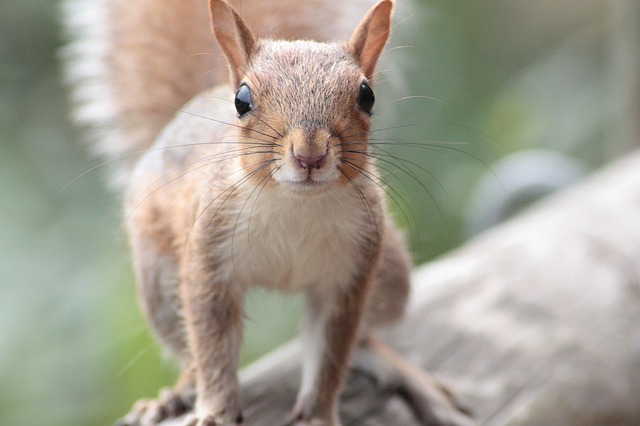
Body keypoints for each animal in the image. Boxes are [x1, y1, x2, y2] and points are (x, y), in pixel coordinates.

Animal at [65, 0, 472, 426]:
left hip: (391, 278)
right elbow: (212, 346)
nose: (309, 154)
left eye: (367, 96)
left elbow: (330, 353)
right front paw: (216, 411)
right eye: (242, 100)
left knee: (365, 338)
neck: (295, 204)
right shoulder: (208, 262)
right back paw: (173, 397)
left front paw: (318, 415)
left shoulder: (349, 275)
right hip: (160, 282)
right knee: (187, 350)